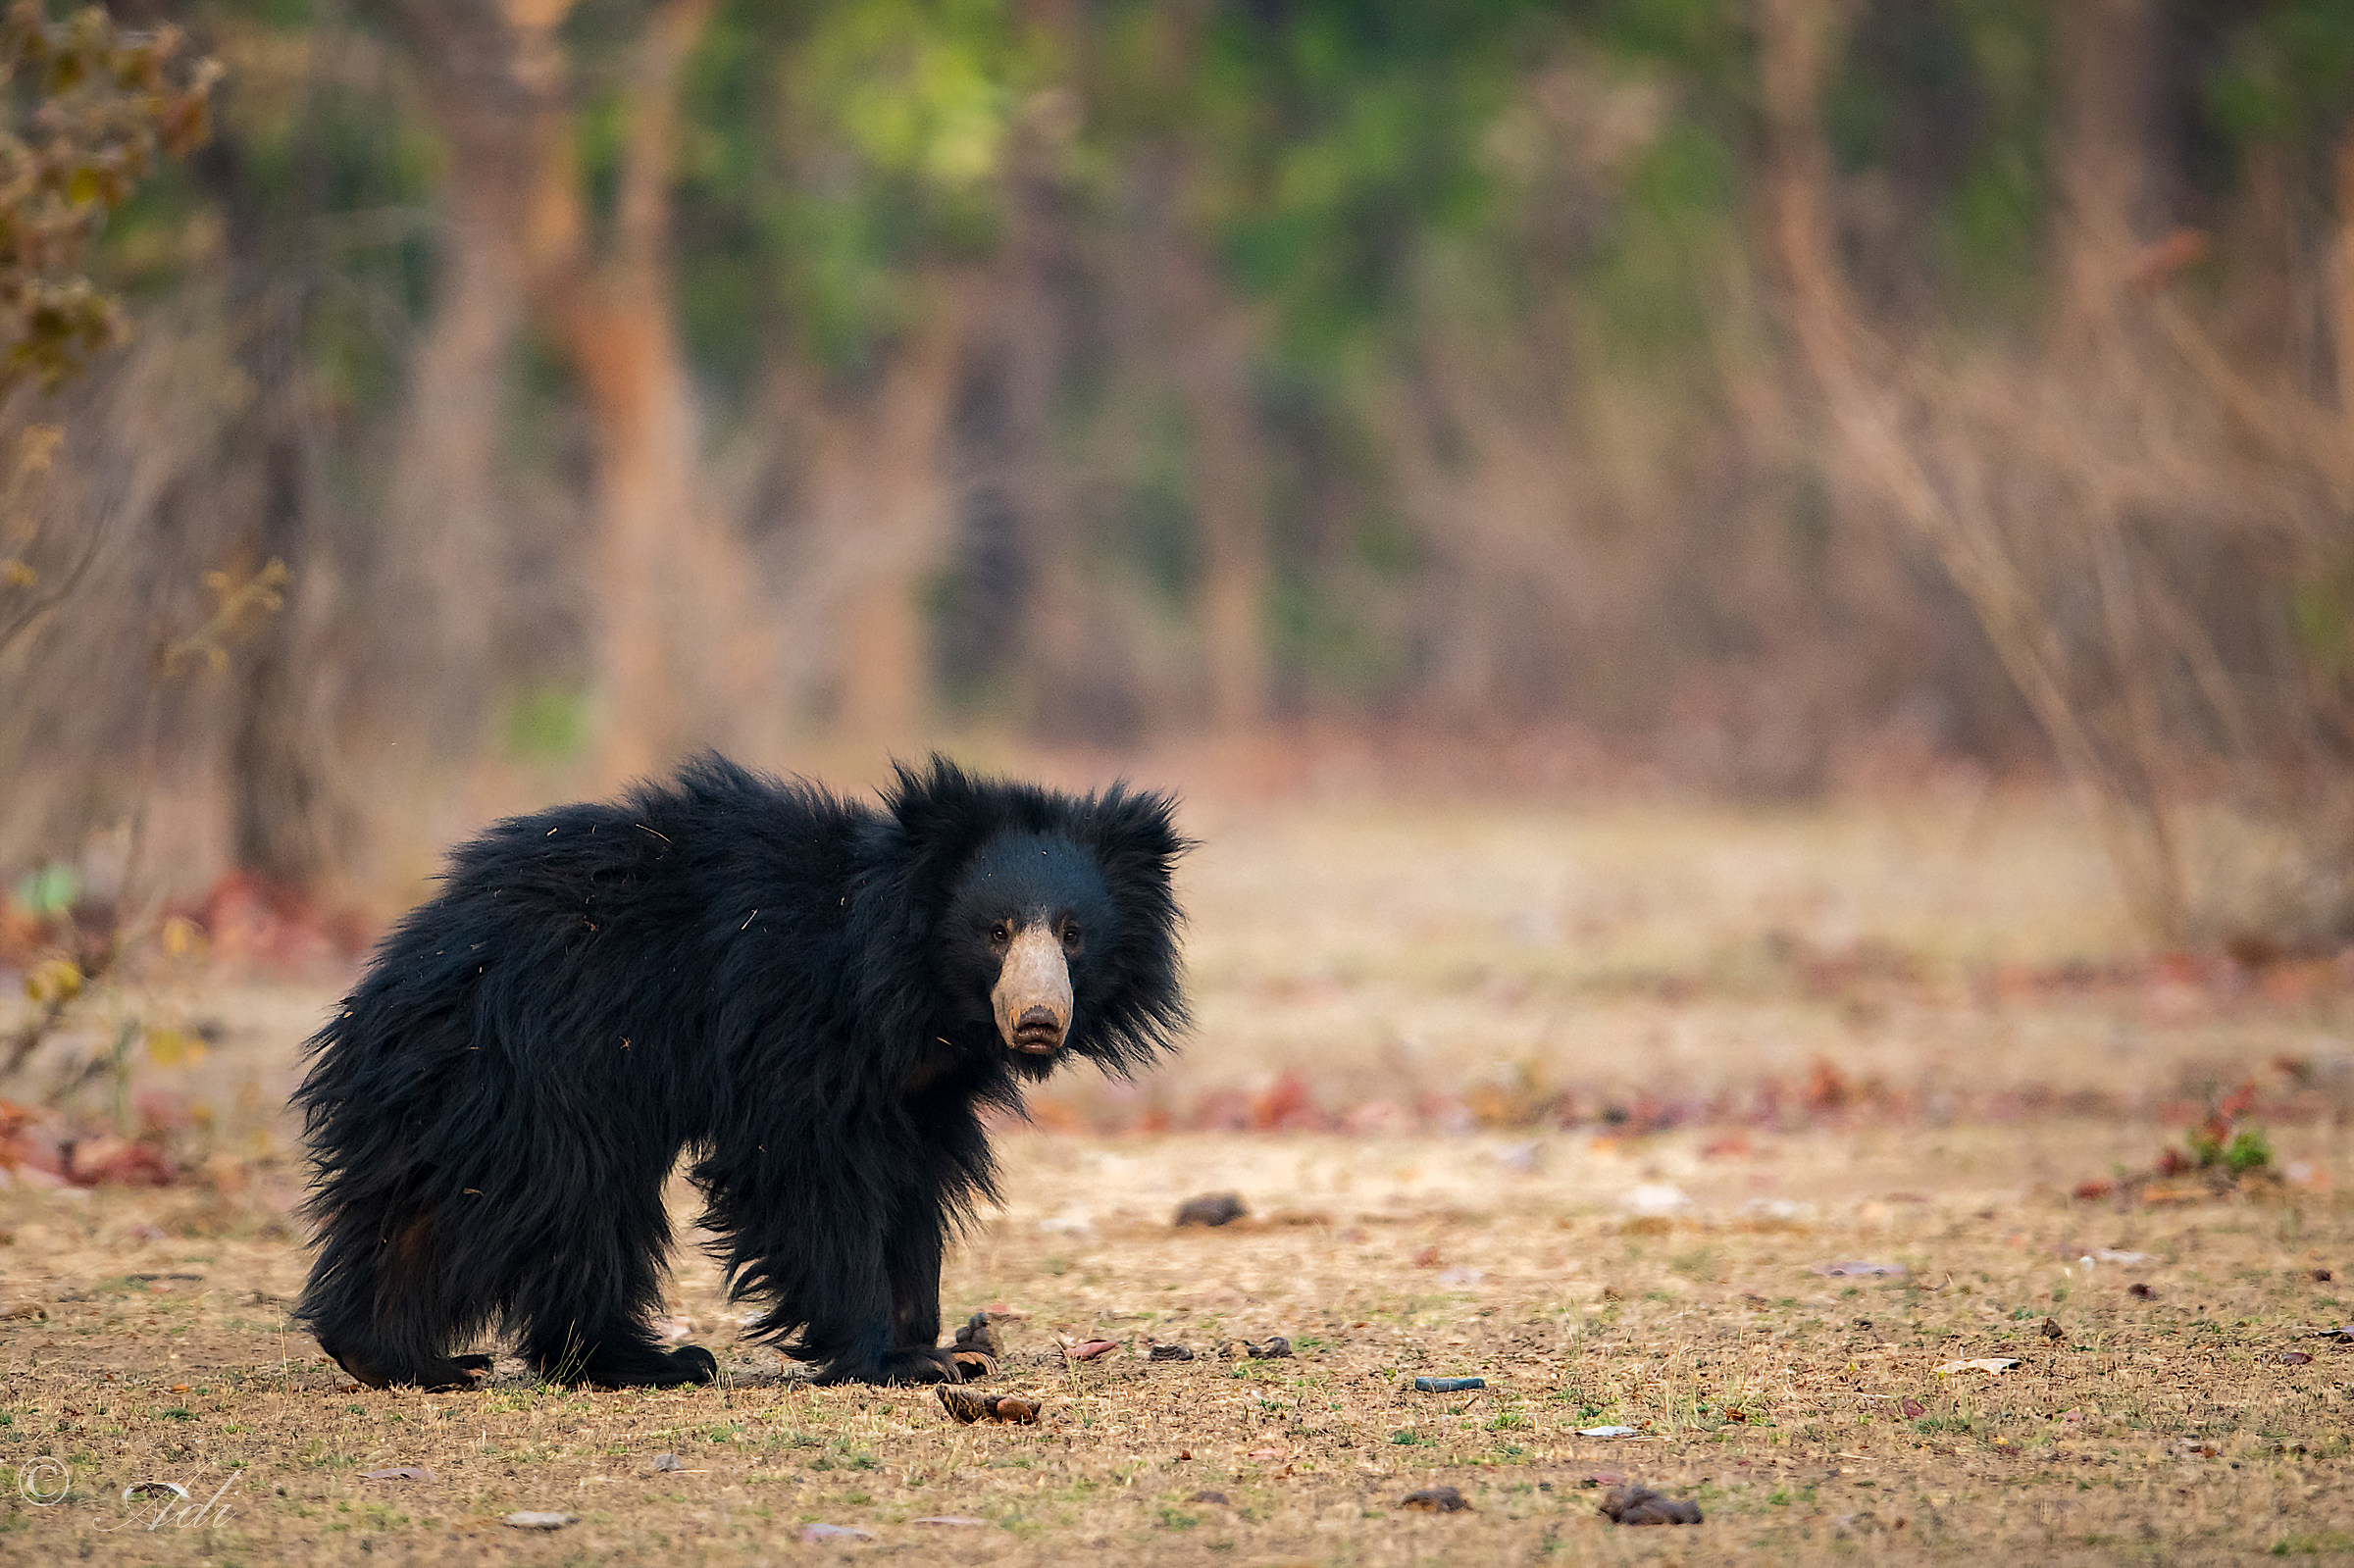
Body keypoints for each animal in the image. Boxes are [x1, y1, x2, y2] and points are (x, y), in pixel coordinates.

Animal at [292, 754, 1187, 1390]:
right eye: (995, 931)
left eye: (1073, 934)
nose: (1037, 1019)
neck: (910, 989)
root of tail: (402, 962)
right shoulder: (792, 1021)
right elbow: (810, 1175)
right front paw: (896, 1357)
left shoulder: (918, 1088)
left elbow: (912, 1187)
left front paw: (945, 1345)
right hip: (544, 1063)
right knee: (573, 1201)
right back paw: (649, 1361)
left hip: (472, 1085)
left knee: (435, 1201)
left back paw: (396, 1356)